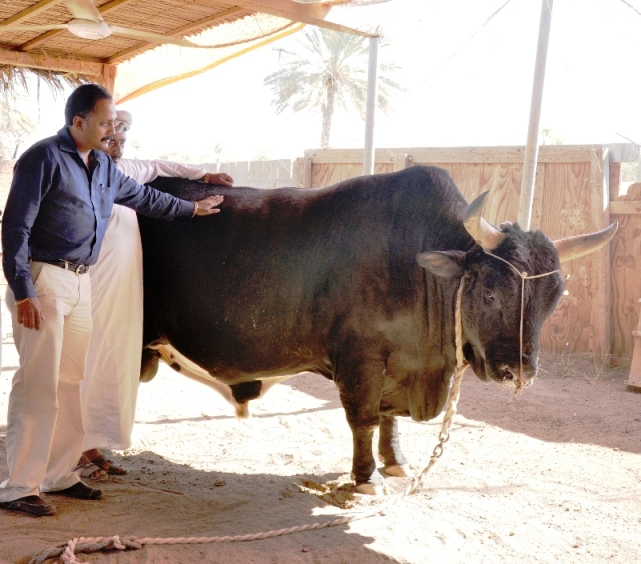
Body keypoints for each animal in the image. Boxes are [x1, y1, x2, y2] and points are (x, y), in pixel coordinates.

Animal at [138, 165, 615, 494]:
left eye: (553, 300)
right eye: (490, 291)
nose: (517, 371)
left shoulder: (399, 366)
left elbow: (390, 419)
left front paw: (396, 461)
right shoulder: (360, 361)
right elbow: (364, 418)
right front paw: (366, 478)